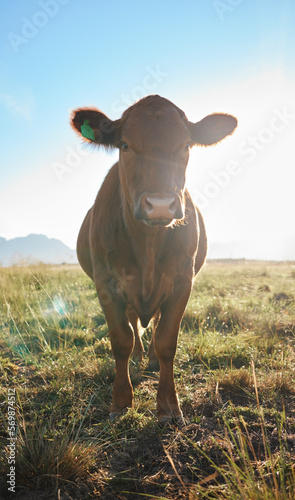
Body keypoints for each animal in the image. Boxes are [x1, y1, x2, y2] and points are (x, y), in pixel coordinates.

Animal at [71, 94, 238, 426]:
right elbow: (121, 339)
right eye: (125, 145)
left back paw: (147, 358)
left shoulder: (182, 282)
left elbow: (166, 341)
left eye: (186, 145)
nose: (160, 205)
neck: (146, 244)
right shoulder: (106, 283)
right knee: (134, 324)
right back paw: (138, 356)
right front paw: (121, 401)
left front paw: (169, 407)